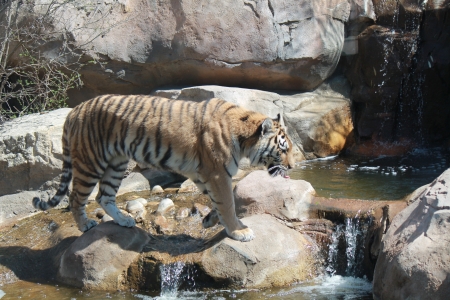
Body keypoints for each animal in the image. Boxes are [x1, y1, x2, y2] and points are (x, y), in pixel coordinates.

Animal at [33, 95, 298, 243]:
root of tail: (74, 110)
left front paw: (210, 220)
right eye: (283, 149)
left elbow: (220, 202)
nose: (293, 167)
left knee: (103, 196)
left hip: (116, 163)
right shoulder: (216, 173)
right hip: (91, 162)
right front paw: (239, 231)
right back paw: (85, 225)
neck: (245, 137)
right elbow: (228, 202)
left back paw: (125, 220)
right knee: (76, 197)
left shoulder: (203, 174)